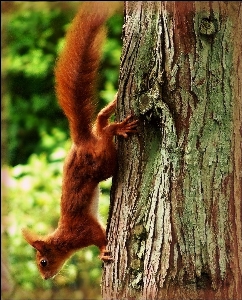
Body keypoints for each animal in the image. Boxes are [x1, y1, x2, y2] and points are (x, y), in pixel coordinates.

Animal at [21, 1, 137, 280]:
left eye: (43, 261)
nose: (45, 278)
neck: (64, 238)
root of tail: (81, 141)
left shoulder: (84, 230)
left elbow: (100, 237)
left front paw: (103, 252)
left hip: (102, 164)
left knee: (104, 134)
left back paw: (116, 128)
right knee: (99, 121)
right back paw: (111, 112)